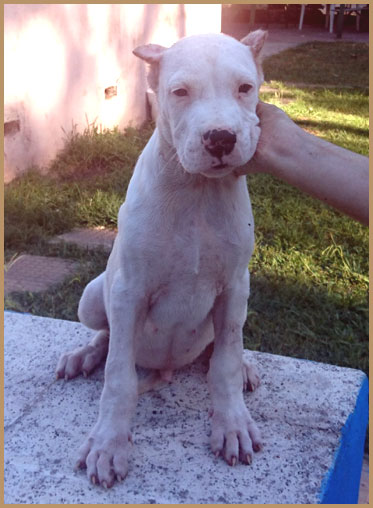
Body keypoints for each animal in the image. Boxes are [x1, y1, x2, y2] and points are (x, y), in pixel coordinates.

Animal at [56, 28, 268, 488]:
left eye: (245, 88)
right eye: (180, 92)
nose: (221, 138)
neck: (196, 191)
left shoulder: (234, 287)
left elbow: (225, 360)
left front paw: (232, 425)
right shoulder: (129, 291)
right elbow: (118, 376)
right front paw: (108, 445)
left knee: (222, 348)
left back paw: (244, 365)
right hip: (92, 295)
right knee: (106, 337)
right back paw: (84, 356)